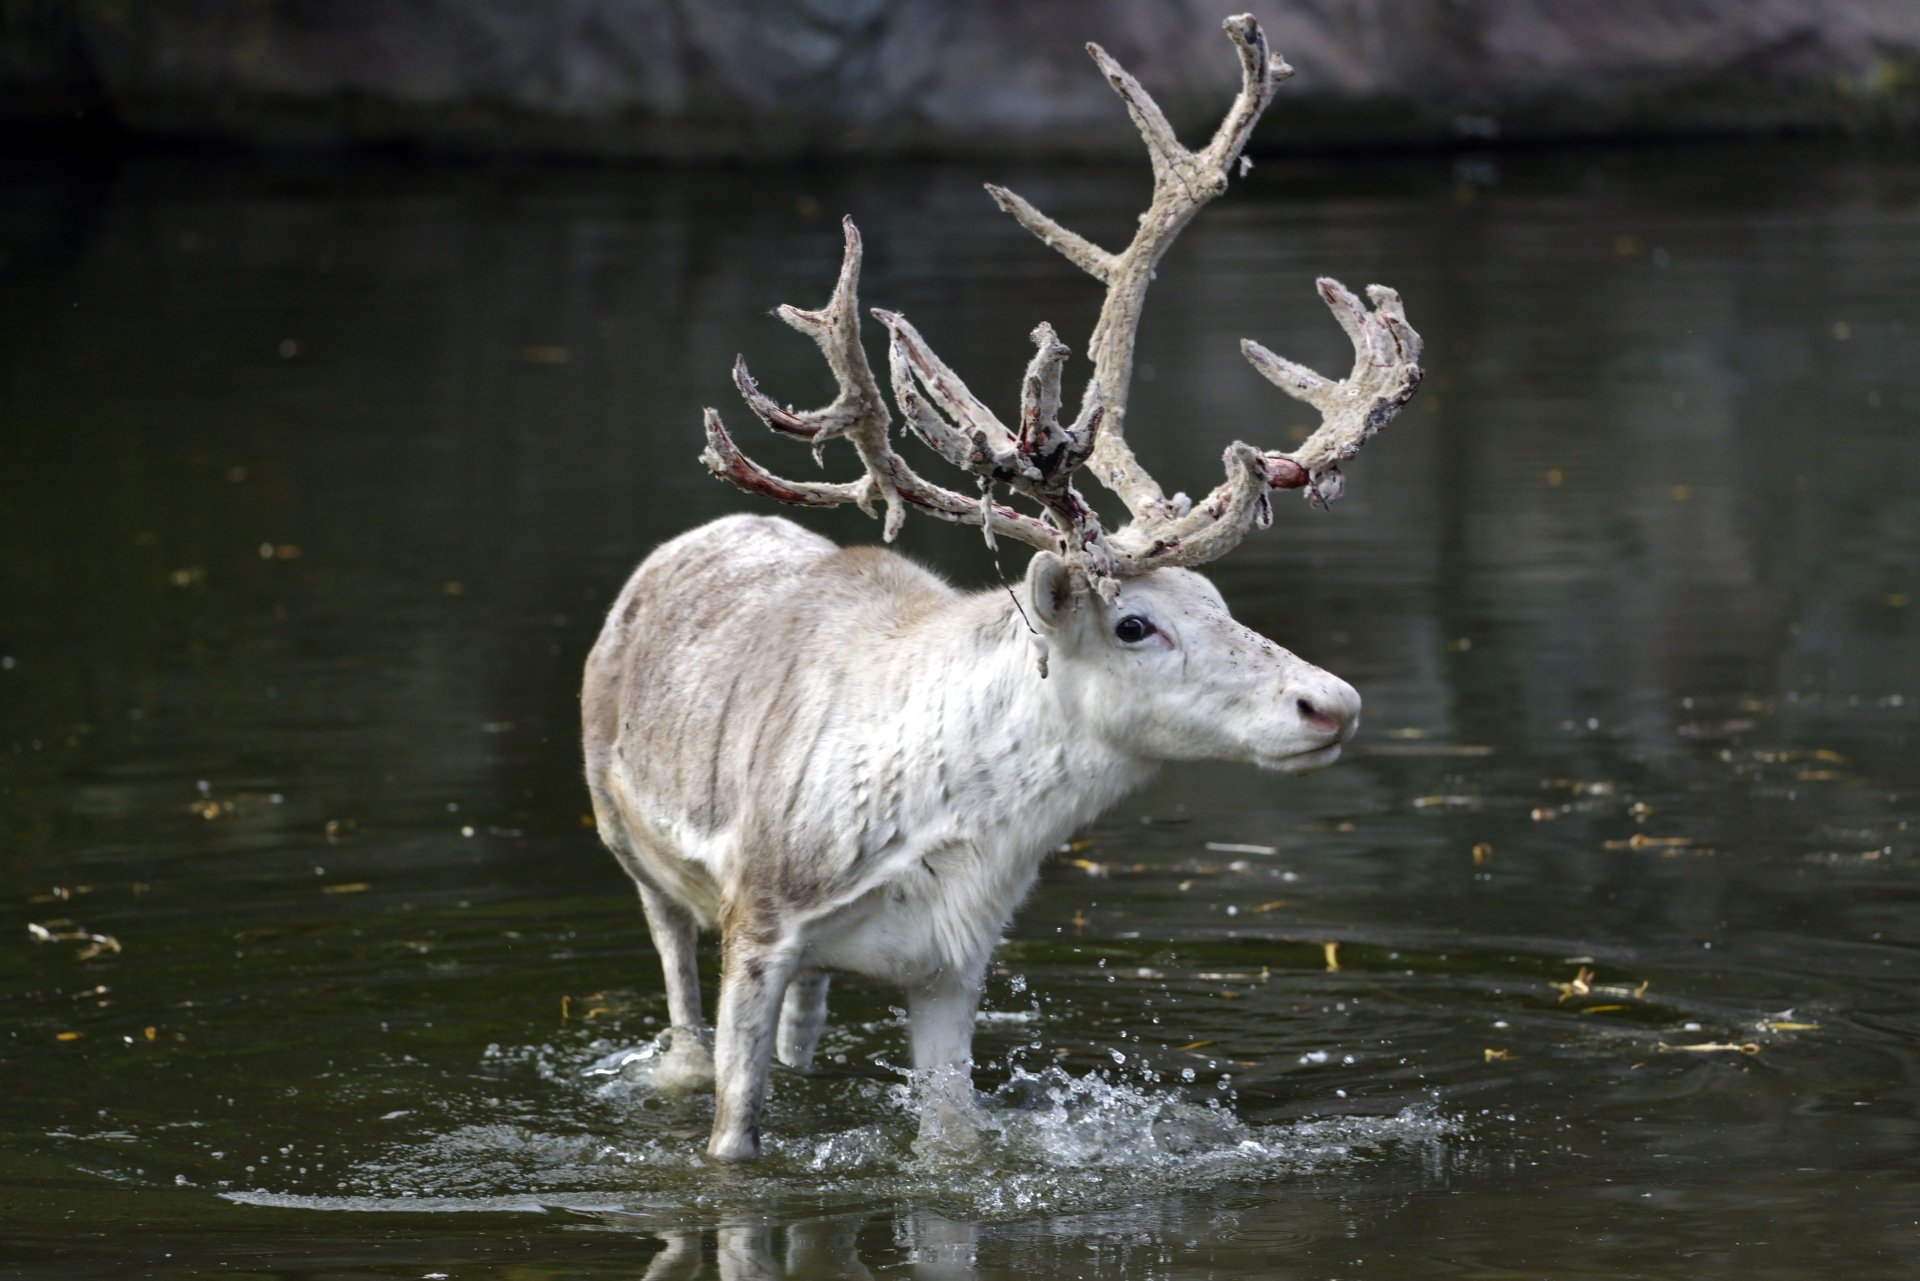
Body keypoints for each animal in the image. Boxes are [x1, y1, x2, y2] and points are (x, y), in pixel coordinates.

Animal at [581, 13, 1421, 1161]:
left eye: (1223, 606)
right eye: (1135, 623)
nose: (1329, 701)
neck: (950, 835)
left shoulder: (954, 965)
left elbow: (954, 1146)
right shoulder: (761, 915)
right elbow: (733, 1131)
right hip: (629, 844)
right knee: (674, 989)